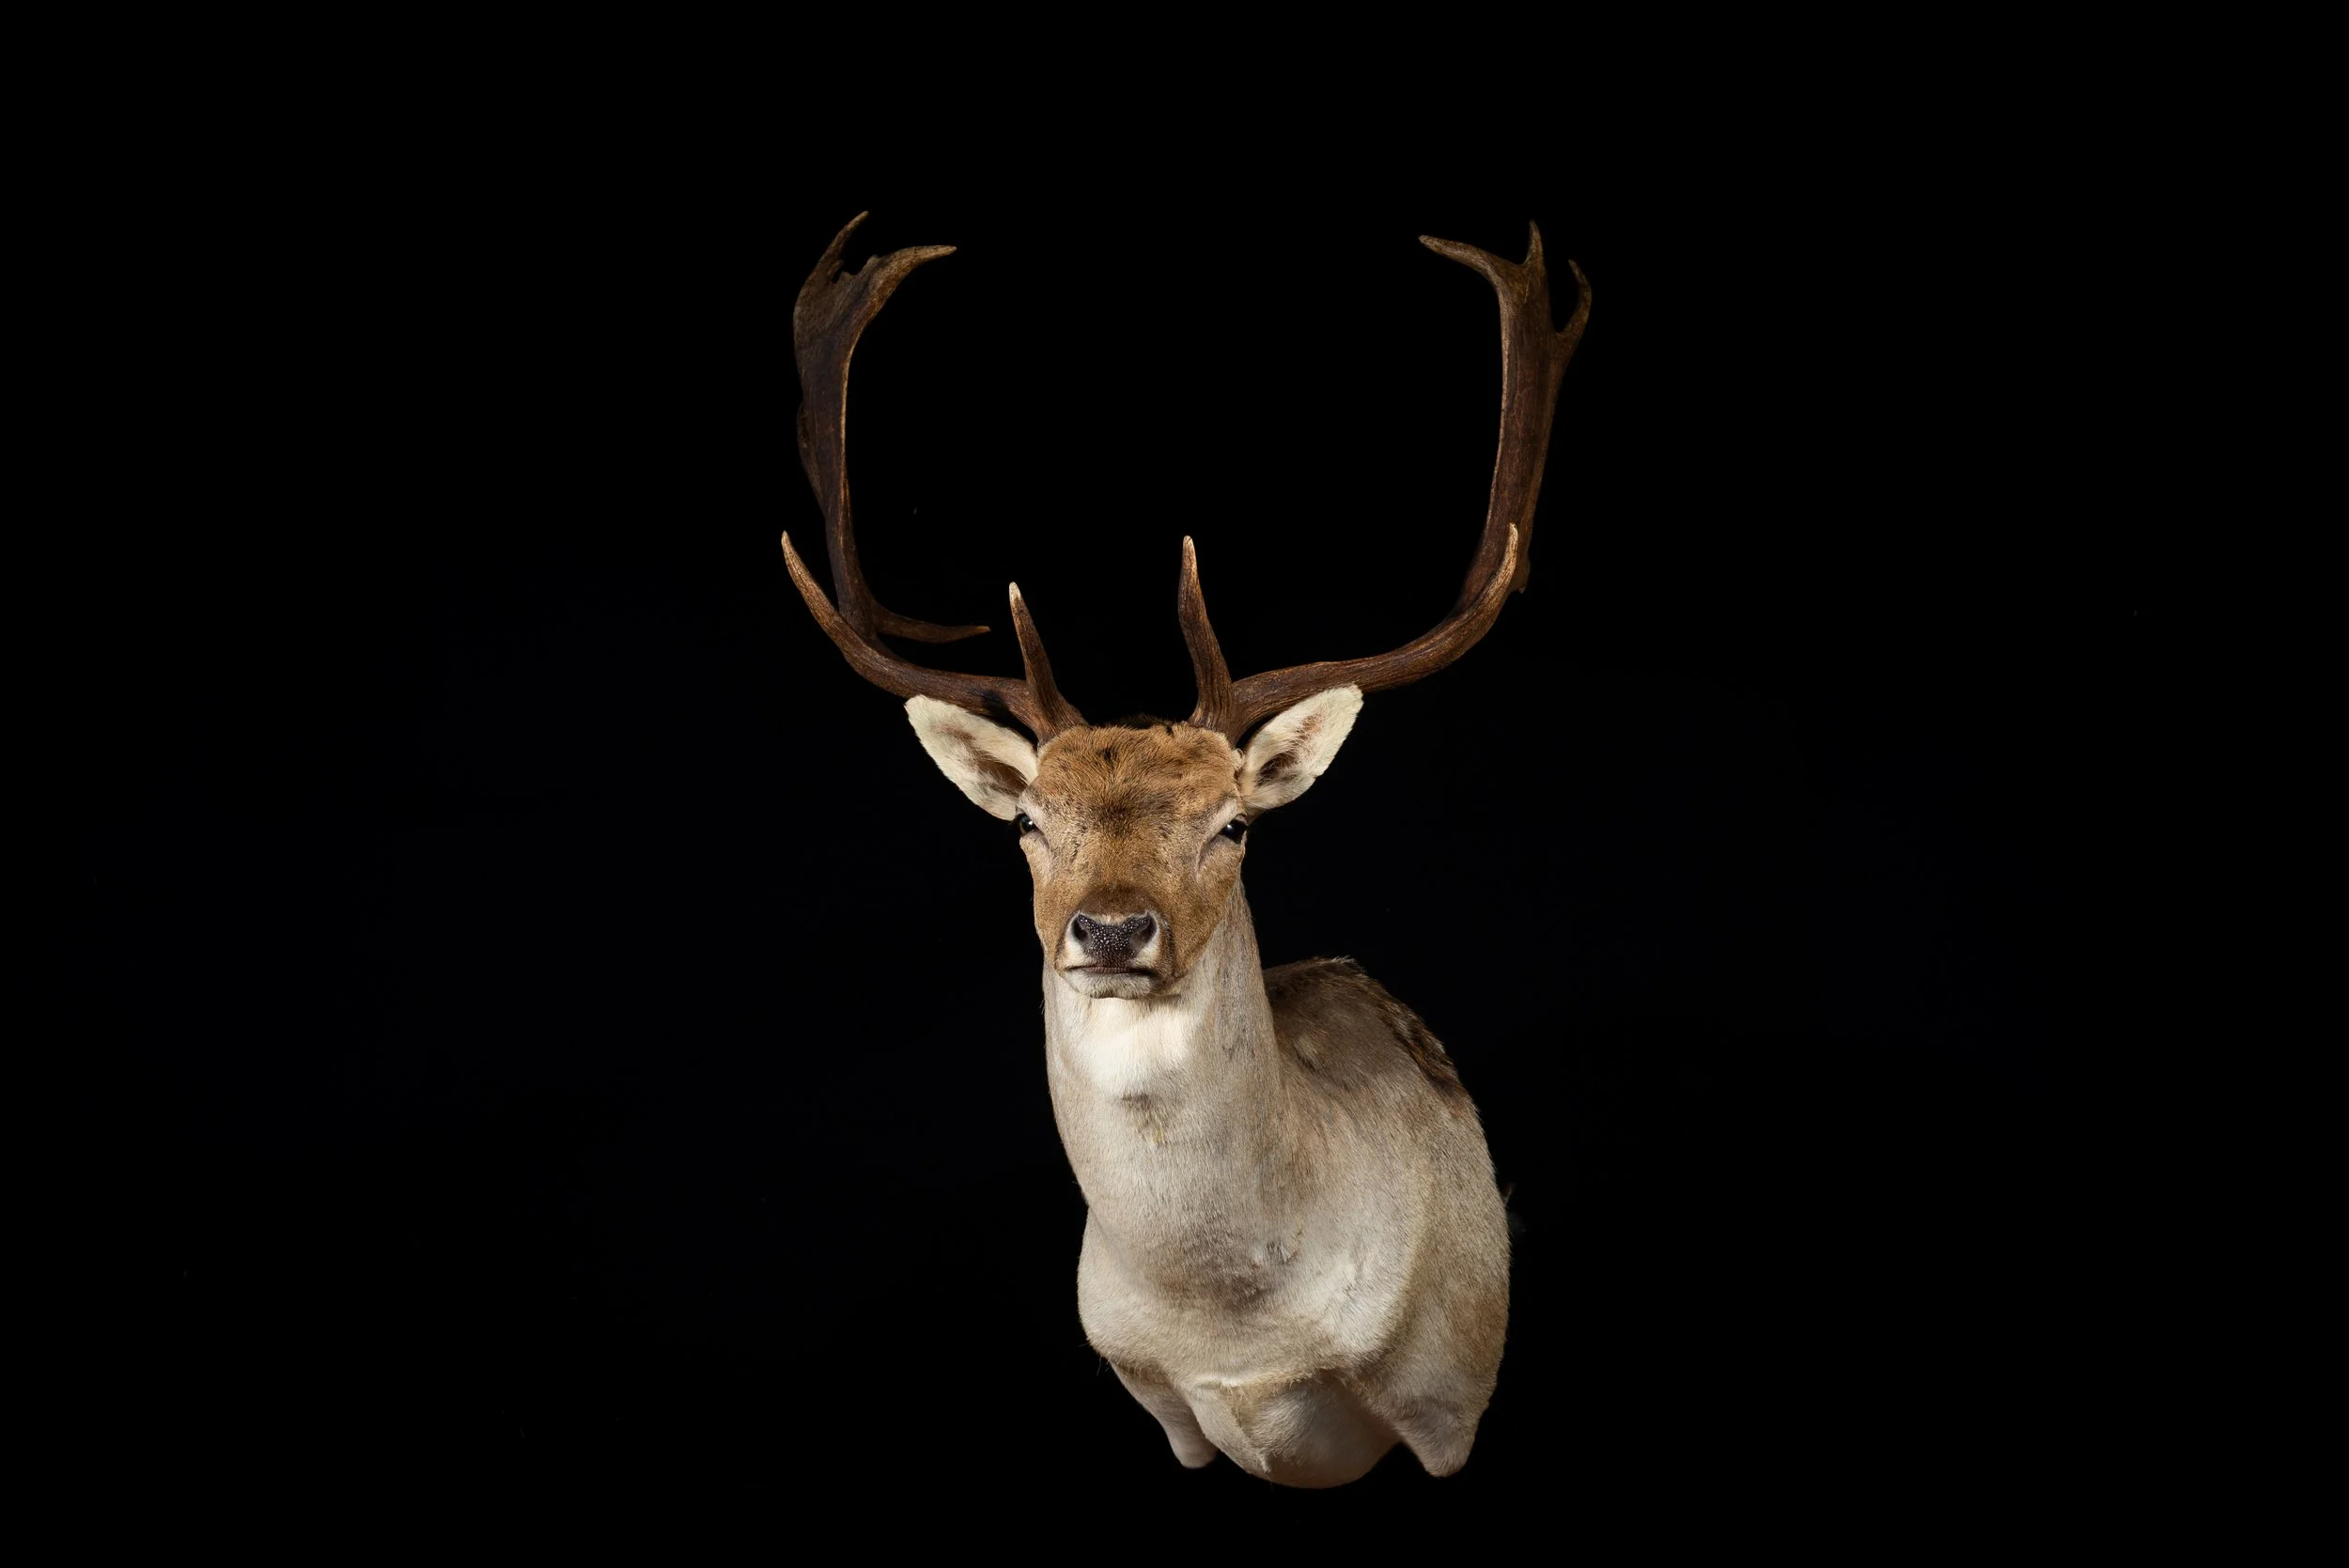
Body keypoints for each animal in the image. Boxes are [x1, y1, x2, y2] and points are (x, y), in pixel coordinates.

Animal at [778, 213, 1588, 1487]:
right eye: (1028, 821)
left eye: (1233, 823)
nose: (1111, 928)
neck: (1235, 1333)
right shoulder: (1164, 1411)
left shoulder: (1452, 1400)